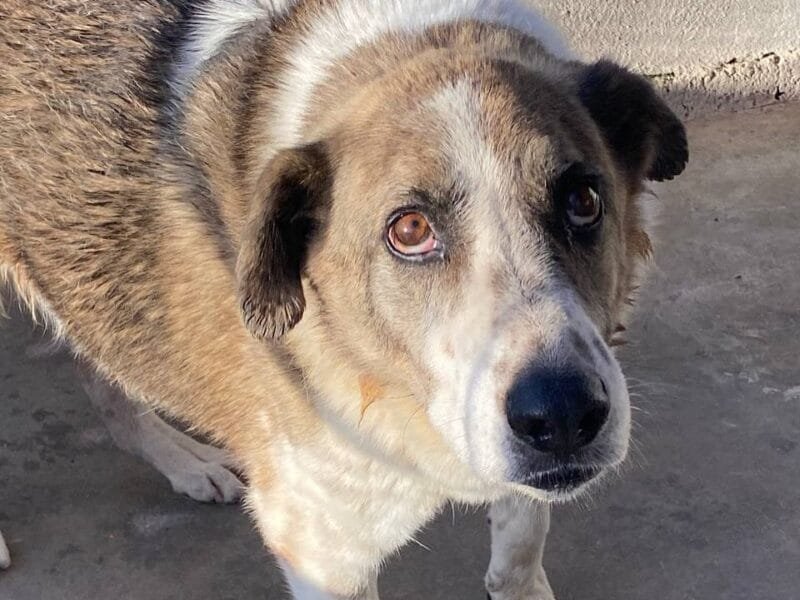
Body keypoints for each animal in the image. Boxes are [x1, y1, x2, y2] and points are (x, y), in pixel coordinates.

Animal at [1, 1, 688, 596]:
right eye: (409, 230)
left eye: (584, 200)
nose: (564, 414)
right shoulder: (322, 551)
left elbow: (522, 537)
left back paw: (185, 462)